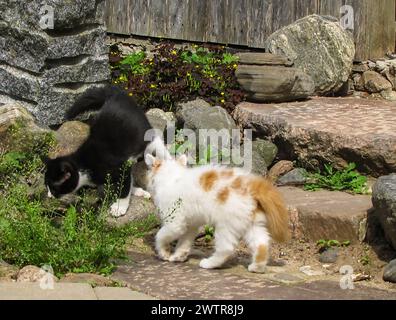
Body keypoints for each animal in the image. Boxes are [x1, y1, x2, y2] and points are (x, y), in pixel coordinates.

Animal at [44, 84, 154, 216]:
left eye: (54, 188)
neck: (83, 164)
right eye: (46, 186)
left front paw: (120, 206)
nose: (49, 196)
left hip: (143, 132)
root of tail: (115, 94)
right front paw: (137, 191)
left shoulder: (118, 166)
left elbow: (124, 185)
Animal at [144, 152, 290, 272]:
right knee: (261, 245)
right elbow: (184, 242)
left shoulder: (175, 223)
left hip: (225, 226)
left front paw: (164, 253)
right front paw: (178, 256)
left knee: (226, 248)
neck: (173, 178)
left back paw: (210, 263)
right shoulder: (191, 225)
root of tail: (251, 184)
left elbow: (161, 235)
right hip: (252, 224)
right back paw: (256, 267)